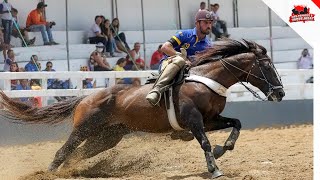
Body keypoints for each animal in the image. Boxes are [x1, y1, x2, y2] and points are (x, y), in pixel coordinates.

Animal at [0, 38, 284, 178]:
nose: (280, 93)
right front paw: (214, 169)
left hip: (108, 137)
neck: (207, 79)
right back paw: (48, 173)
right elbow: (203, 143)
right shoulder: (194, 121)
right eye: (267, 66)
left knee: (76, 155)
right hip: (84, 129)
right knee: (62, 152)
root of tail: (84, 98)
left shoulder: (212, 119)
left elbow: (236, 124)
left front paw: (222, 149)